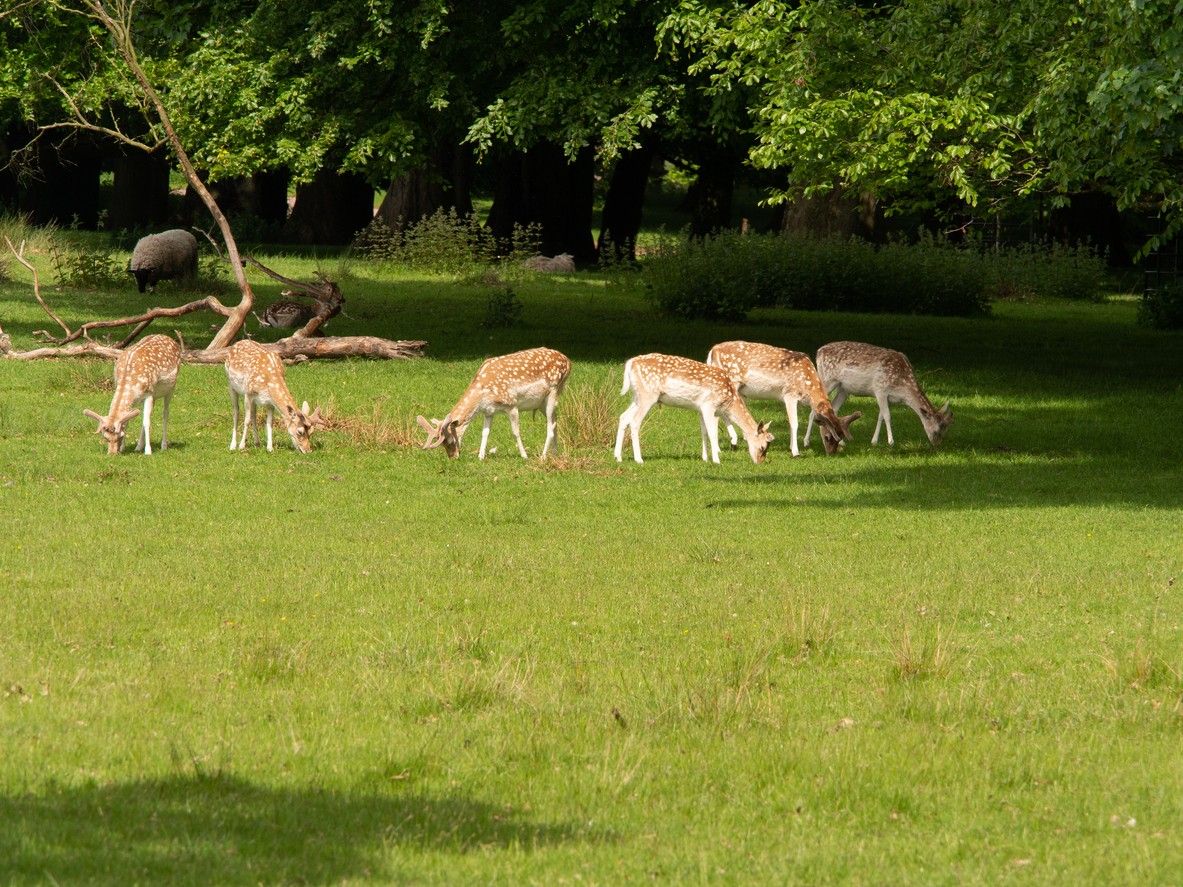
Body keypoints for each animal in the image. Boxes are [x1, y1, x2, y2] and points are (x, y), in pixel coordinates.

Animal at [418, 347, 570, 461]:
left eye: (450, 440)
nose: (453, 457)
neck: (482, 395)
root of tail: (568, 362)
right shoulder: (489, 411)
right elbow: (485, 433)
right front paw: (480, 456)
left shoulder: (511, 404)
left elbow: (515, 432)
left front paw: (524, 456)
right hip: (542, 403)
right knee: (555, 422)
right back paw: (555, 454)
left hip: (553, 391)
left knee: (550, 426)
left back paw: (543, 457)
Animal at [615, 352, 771, 468]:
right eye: (763, 447)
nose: (759, 462)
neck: (729, 399)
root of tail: (630, 363)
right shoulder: (709, 406)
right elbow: (713, 433)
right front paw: (716, 460)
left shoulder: (700, 409)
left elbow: (704, 432)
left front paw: (705, 458)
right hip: (647, 395)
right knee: (634, 421)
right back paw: (639, 459)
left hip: (637, 396)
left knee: (623, 417)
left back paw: (617, 457)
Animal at [700, 340, 861, 458]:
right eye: (827, 436)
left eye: (841, 436)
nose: (831, 453)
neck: (808, 385)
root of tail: (712, 351)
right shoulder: (789, 394)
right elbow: (794, 423)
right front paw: (795, 452)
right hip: (731, 382)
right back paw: (732, 442)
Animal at [804, 342, 951, 447]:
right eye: (938, 429)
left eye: (946, 428)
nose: (937, 444)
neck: (902, 388)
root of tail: (818, 352)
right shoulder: (880, 389)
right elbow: (887, 416)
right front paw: (891, 442)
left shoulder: (888, 398)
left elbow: (881, 416)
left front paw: (874, 441)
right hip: (826, 380)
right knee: (813, 409)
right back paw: (806, 442)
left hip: (843, 389)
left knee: (833, 409)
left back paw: (841, 442)